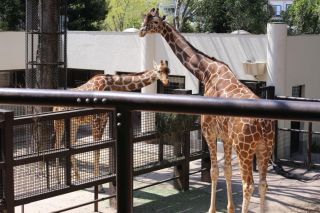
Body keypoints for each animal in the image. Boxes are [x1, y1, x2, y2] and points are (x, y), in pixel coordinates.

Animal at [139, 7, 276, 212]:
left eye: (153, 21)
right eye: (145, 18)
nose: (141, 31)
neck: (207, 72)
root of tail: (263, 123)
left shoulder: (209, 131)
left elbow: (213, 171)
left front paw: (212, 208)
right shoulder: (226, 137)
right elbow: (227, 170)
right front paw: (230, 208)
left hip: (244, 148)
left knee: (248, 184)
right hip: (265, 147)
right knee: (263, 183)